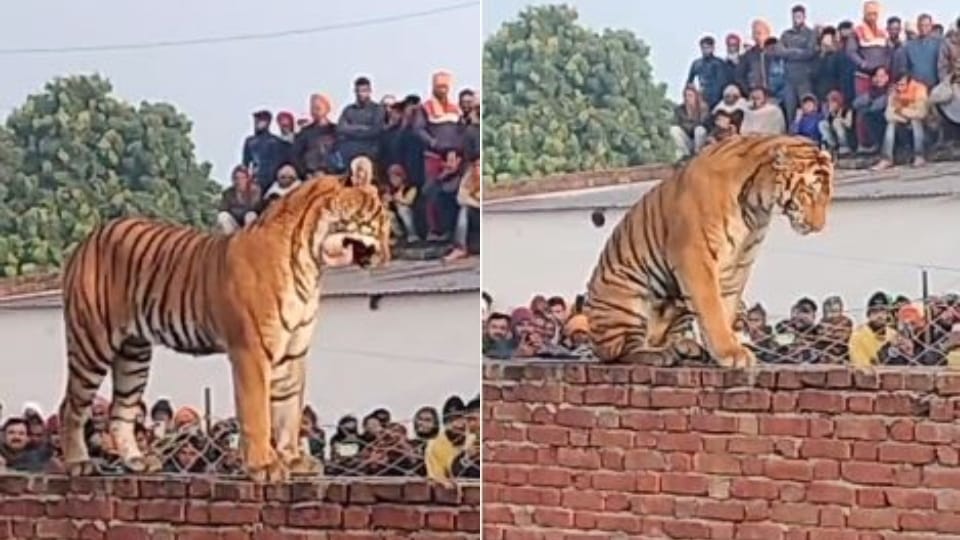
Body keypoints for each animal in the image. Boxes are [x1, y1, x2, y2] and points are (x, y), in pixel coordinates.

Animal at [59, 173, 388, 483]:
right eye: (378, 219)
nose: (387, 255)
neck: (310, 262)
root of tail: (92, 235)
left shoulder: (292, 352)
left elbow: (289, 412)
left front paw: (294, 460)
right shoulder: (252, 349)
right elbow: (257, 414)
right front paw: (264, 466)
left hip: (134, 353)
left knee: (120, 410)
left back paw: (136, 461)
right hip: (92, 342)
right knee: (71, 406)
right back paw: (78, 463)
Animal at [584, 134, 834, 368]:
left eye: (828, 196)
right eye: (809, 192)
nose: (818, 227)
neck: (756, 202)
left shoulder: (740, 262)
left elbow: (726, 306)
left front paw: (723, 351)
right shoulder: (695, 255)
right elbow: (712, 308)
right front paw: (731, 353)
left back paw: (685, 347)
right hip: (628, 298)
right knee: (619, 352)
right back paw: (658, 354)